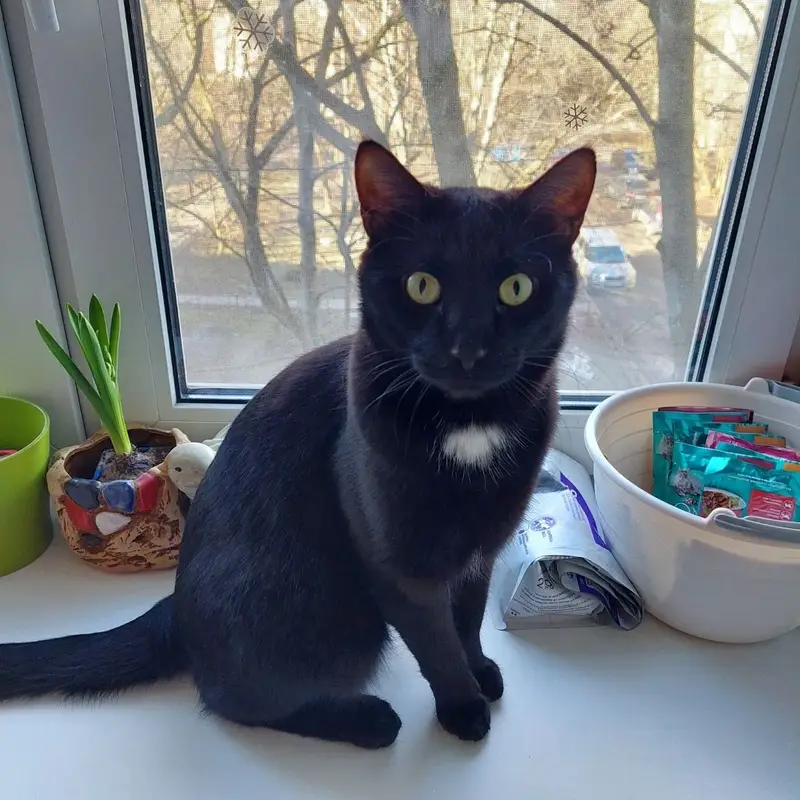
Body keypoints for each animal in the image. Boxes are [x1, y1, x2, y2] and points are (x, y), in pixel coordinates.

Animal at [0, 142, 595, 749]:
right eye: (422, 285)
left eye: (516, 287)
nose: (467, 349)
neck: (468, 427)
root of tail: (177, 609)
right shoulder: (395, 565)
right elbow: (435, 642)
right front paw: (462, 707)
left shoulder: (480, 548)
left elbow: (467, 620)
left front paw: (479, 672)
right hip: (334, 614)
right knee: (230, 698)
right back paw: (368, 720)